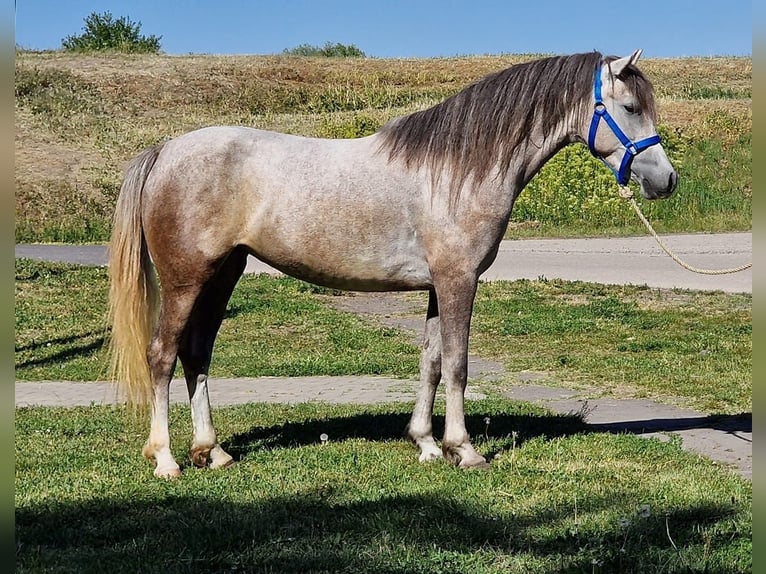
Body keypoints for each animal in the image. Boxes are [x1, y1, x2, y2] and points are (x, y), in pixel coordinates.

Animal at [108, 49, 677, 478]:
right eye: (629, 106)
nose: (666, 180)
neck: (459, 169)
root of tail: (164, 151)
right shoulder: (458, 281)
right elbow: (458, 365)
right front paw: (464, 449)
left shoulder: (438, 286)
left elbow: (430, 362)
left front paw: (426, 443)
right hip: (187, 279)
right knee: (162, 356)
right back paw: (165, 459)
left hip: (223, 275)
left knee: (196, 355)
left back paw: (214, 451)